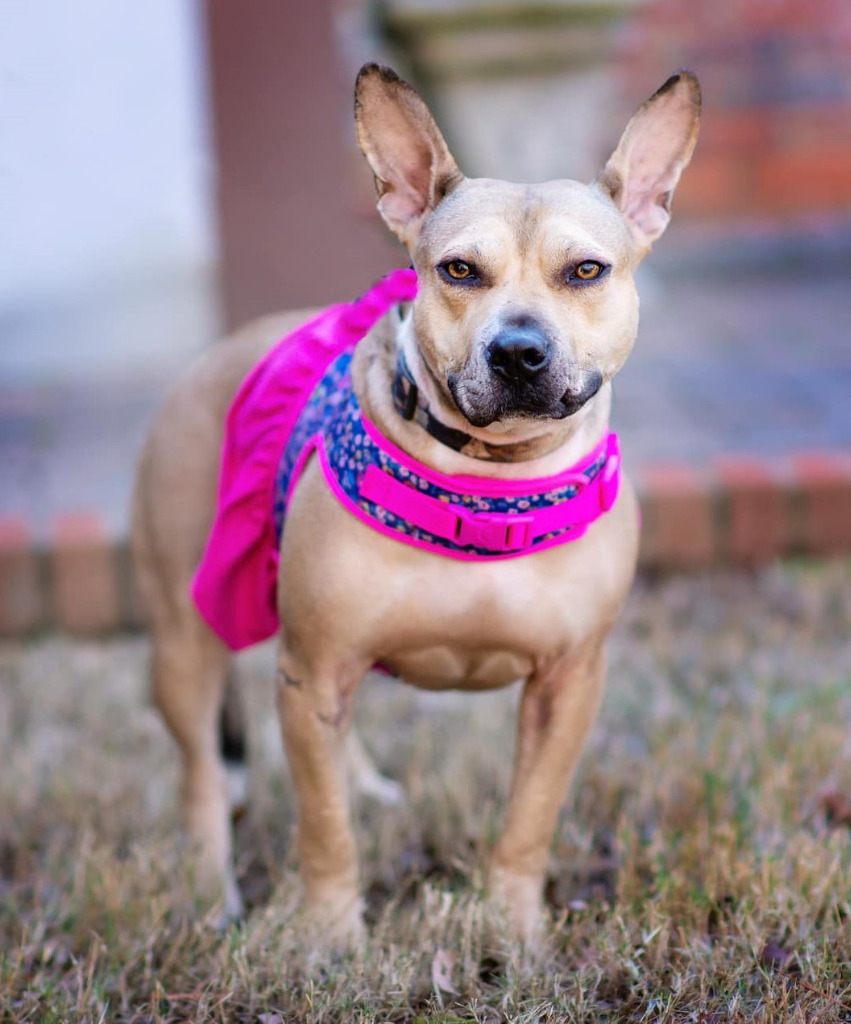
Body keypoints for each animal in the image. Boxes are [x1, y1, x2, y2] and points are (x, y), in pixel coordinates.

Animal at [128, 64, 700, 942]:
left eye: (585, 271)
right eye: (458, 271)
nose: (518, 350)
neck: (489, 481)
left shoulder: (566, 684)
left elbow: (529, 816)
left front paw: (514, 927)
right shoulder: (313, 670)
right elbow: (322, 826)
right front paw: (331, 934)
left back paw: (367, 789)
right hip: (186, 641)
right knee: (202, 775)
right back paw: (209, 889)